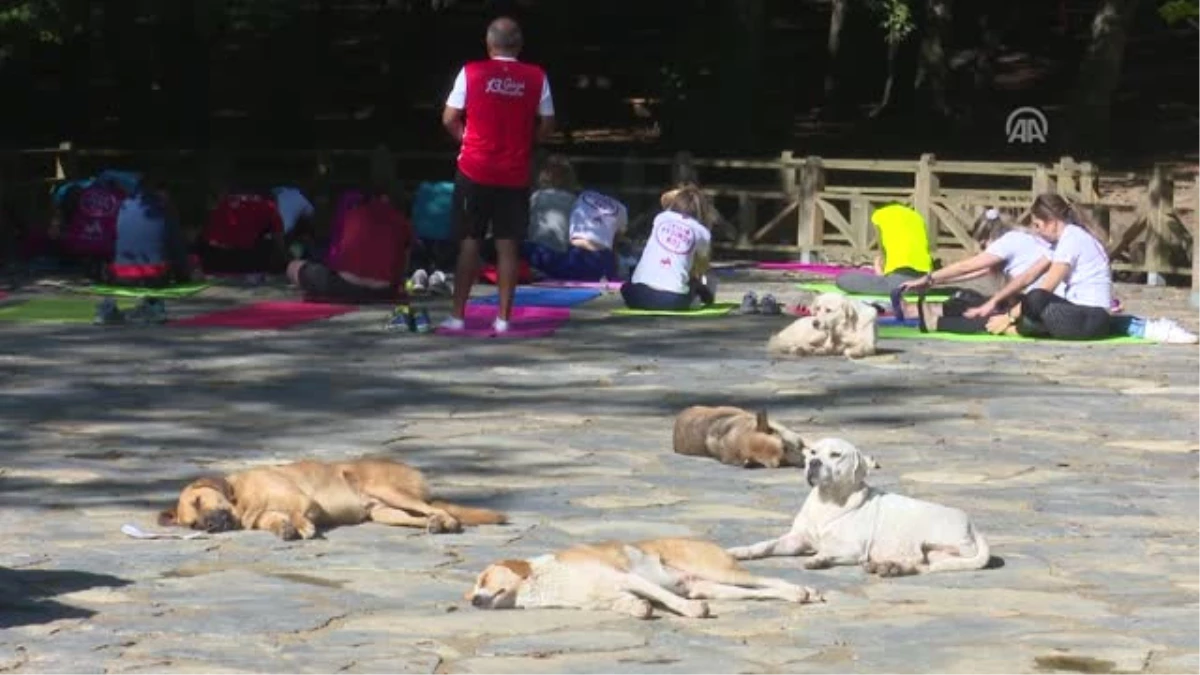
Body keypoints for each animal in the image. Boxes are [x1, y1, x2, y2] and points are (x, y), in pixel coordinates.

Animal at [724, 439, 988, 576]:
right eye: (813, 451)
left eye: (836, 454)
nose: (813, 463)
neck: (827, 501)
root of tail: (973, 525)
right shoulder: (796, 539)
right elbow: (765, 545)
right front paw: (741, 551)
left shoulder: (853, 549)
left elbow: (830, 552)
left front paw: (819, 559)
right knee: (923, 563)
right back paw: (890, 567)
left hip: (931, 536)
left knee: (922, 560)